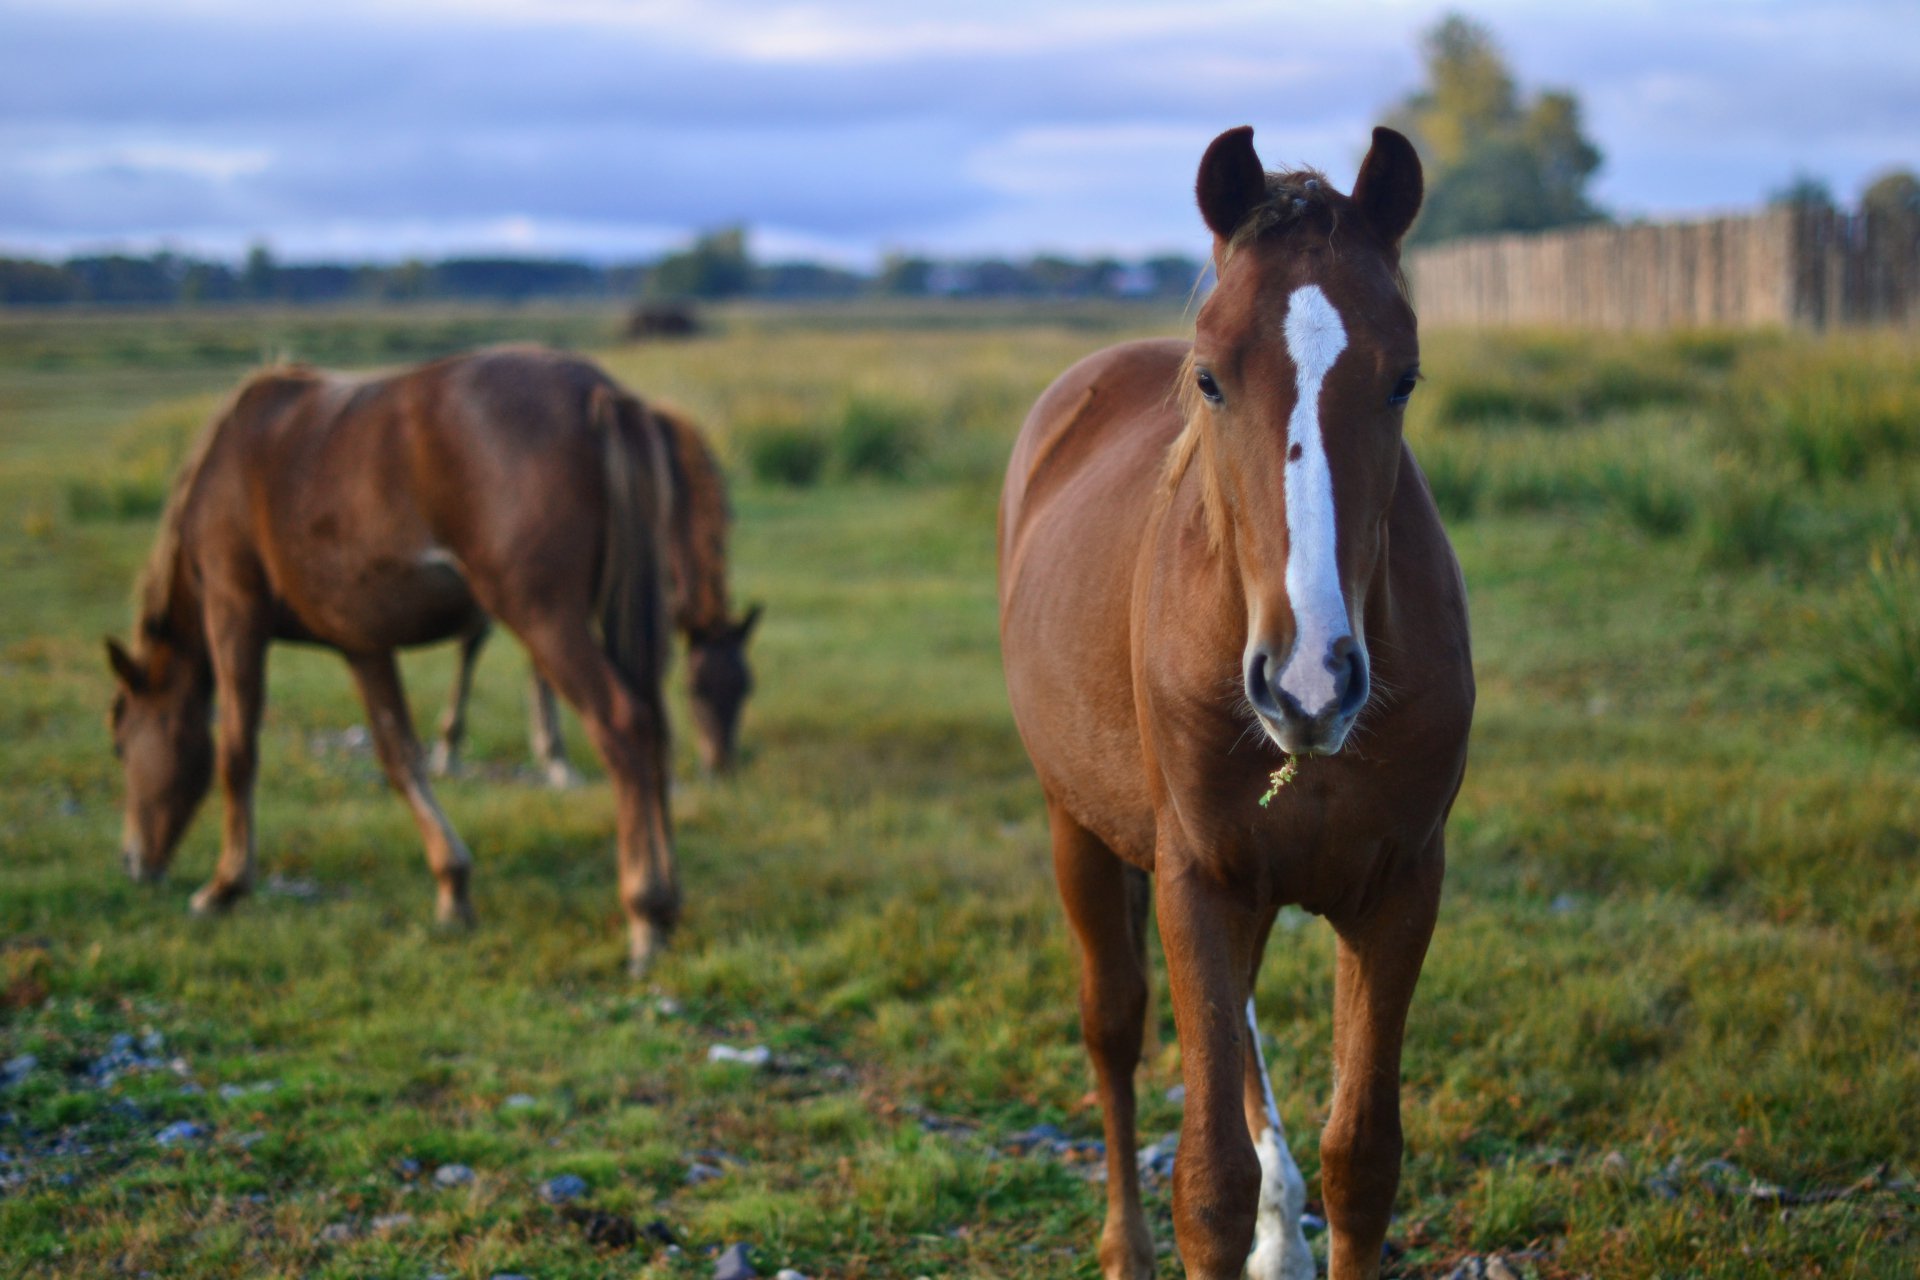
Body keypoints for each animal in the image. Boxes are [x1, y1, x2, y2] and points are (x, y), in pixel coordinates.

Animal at [106, 344, 686, 974]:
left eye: (120, 747)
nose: (133, 862)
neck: (231, 463)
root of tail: (597, 393)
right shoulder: (362, 644)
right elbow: (398, 756)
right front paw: (452, 887)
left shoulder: (234, 610)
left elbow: (237, 752)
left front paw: (225, 886)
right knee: (655, 730)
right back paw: (667, 903)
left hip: (543, 617)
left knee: (624, 725)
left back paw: (645, 911)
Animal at [997, 126, 1473, 1280]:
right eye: (1210, 378)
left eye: (1404, 378)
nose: (1310, 680)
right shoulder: (1200, 881)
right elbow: (1209, 1178)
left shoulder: (1401, 887)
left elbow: (1364, 1158)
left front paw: (1299, 1218)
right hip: (1080, 827)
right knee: (1115, 1026)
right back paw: (1125, 1246)